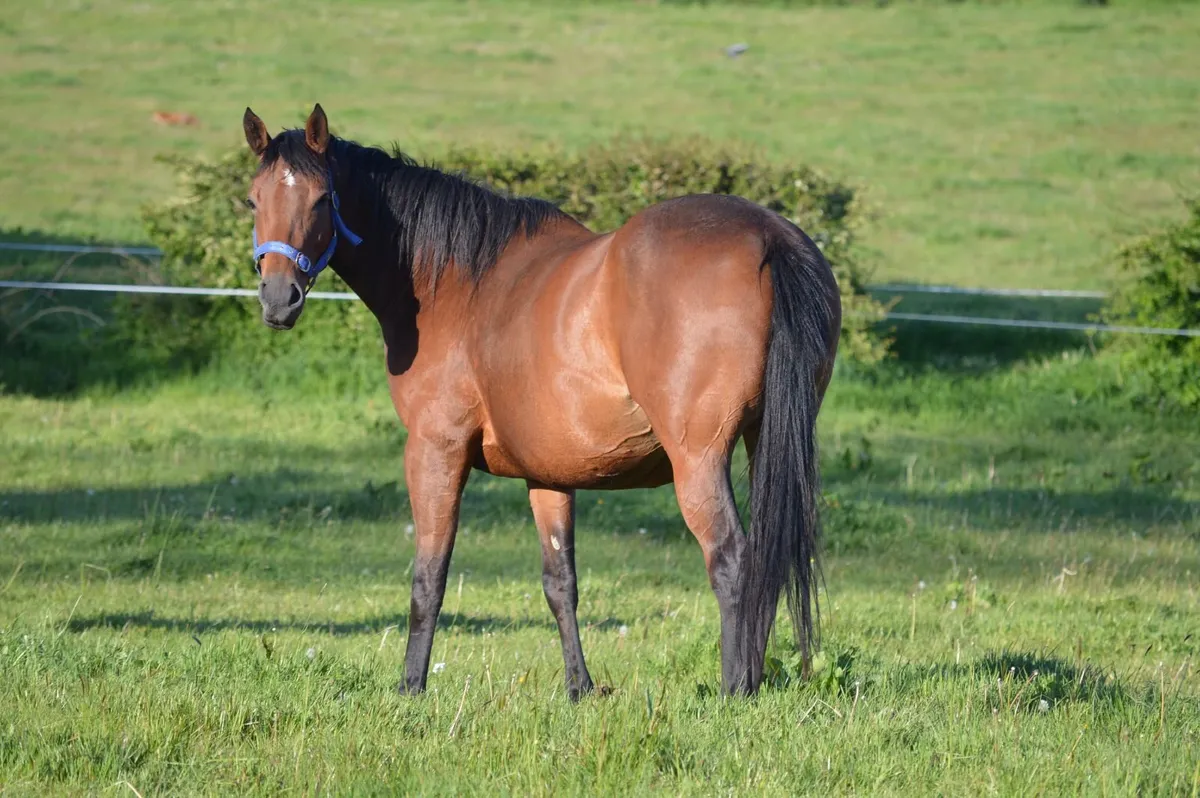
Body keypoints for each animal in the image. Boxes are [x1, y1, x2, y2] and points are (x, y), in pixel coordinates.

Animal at [242, 104, 841, 699]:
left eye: (322, 199)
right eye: (253, 199)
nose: (278, 298)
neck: (458, 280)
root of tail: (767, 237)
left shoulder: (435, 452)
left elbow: (429, 576)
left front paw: (411, 686)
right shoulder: (548, 474)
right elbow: (560, 583)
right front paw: (580, 687)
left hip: (699, 461)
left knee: (733, 560)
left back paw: (735, 689)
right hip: (764, 443)